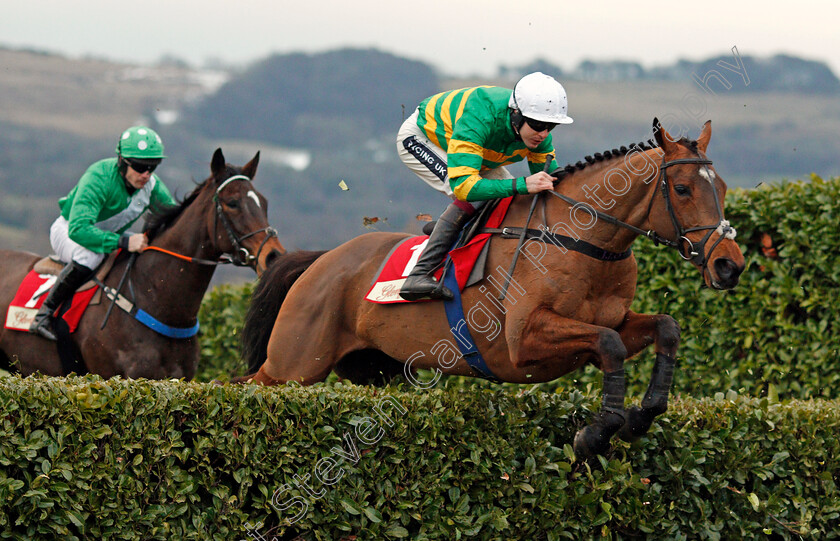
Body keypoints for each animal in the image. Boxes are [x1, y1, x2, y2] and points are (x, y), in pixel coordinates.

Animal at [240, 120, 744, 458]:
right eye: (682, 188)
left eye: (720, 186)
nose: (729, 265)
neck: (578, 239)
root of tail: (321, 260)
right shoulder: (524, 341)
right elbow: (609, 345)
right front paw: (596, 432)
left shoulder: (616, 318)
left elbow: (665, 328)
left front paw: (641, 416)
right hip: (293, 365)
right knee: (249, 387)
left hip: (372, 369)